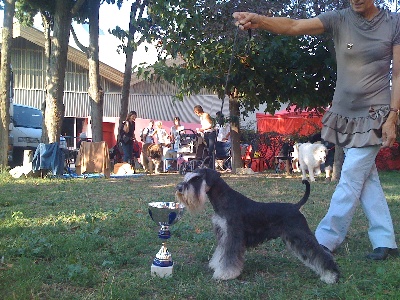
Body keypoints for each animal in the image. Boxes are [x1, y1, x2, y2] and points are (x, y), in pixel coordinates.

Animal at [176, 169, 340, 284]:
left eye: (197, 178)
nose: (179, 188)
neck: (224, 200)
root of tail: (295, 207)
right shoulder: (223, 234)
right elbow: (221, 253)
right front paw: (217, 265)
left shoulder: (233, 236)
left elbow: (229, 257)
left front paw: (225, 274)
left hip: (301, 236)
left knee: (321, 253)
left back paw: (331, 276)